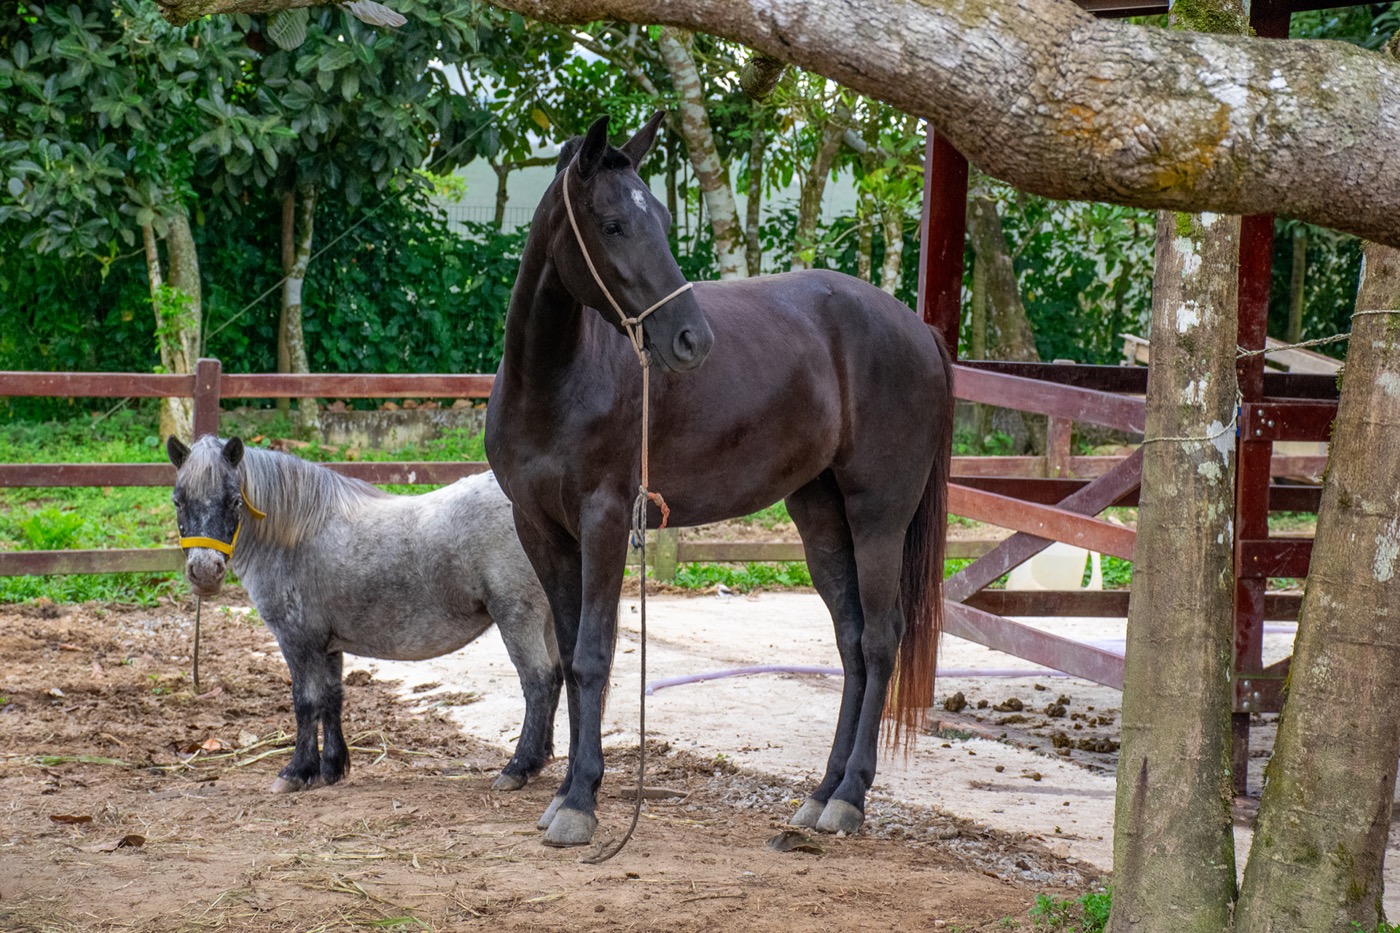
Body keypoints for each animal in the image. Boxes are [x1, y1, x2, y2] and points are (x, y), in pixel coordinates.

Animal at [166, 435, 562, 794]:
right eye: (178, 501)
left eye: (234, 500)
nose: (205, 572)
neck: (293, 536)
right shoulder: (327, 644)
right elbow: (331, 698)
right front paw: (331, 767)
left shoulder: (297, 641)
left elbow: (305, 702)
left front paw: (296, 772)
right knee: (557, 678)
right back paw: (540, 760)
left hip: (518, 617)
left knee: (537, 682)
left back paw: (518, 768)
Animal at [484, 111, 954, 848]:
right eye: (612, 223)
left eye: (661, 220)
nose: (691, 340)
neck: (555, 382)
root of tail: (919, 329)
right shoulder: (539, 528)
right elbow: (564, 654)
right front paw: (563, 791)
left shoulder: (606, 519)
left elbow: (592, 655)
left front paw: (580, 800)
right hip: (821, 517)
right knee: (852, 641)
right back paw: (820, 792)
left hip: (879, 514)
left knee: (881, 639)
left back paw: (849, 797)